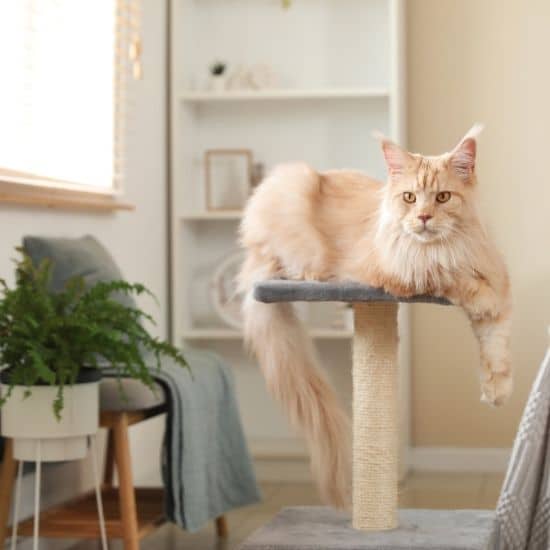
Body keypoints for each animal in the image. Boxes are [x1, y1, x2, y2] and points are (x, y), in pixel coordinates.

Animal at [237, 127, 512, 512]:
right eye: (410, 198)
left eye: (443, 197)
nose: (424, 218)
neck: (452, 248)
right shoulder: (402, 274)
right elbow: (451, 279)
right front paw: (479, 297)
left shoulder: (497, 277)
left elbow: (496, 344)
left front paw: (497, 391)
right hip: (292, 196)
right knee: (281, 262)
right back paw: (310, 273)